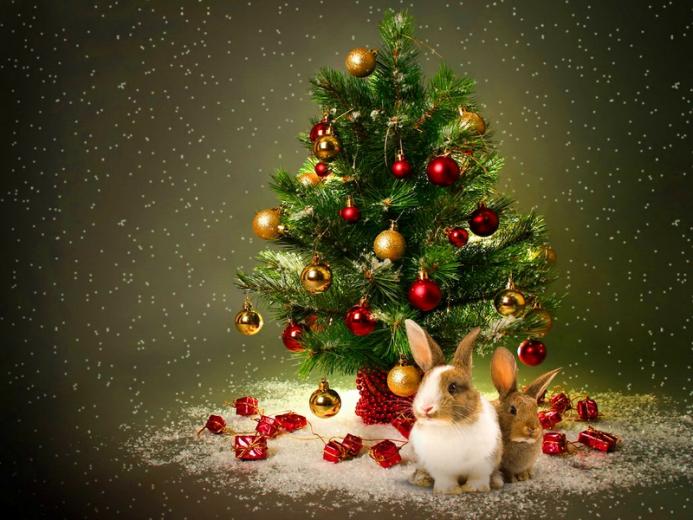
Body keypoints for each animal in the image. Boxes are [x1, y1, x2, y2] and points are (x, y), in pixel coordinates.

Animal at [404, 319, 503, 494]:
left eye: (453, 387)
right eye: (422, 384)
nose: (426, 408)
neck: (449, 427)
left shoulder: (485, 461)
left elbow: (478, 477)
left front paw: (475, 489)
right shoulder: (439, 467)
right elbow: (445, 479)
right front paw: (448, 491)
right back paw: (421, 480)